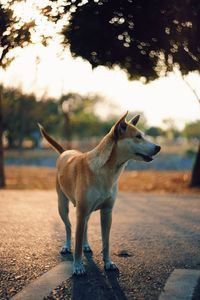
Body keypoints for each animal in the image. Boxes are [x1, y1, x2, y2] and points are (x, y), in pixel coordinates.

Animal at [38, 112, 161, 274]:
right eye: (138, 136)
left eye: (143, 135)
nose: (158, 147)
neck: (105, 170)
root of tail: (66, 151)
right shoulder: (81, 211)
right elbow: (77, 243)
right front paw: (78, 265)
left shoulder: (107, 212)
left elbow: (106, 242)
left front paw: (108, 263)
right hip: (63, 206)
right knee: (69, 227)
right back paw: (66, 246)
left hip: (86, 212)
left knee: (84, 227)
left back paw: (86, 245)